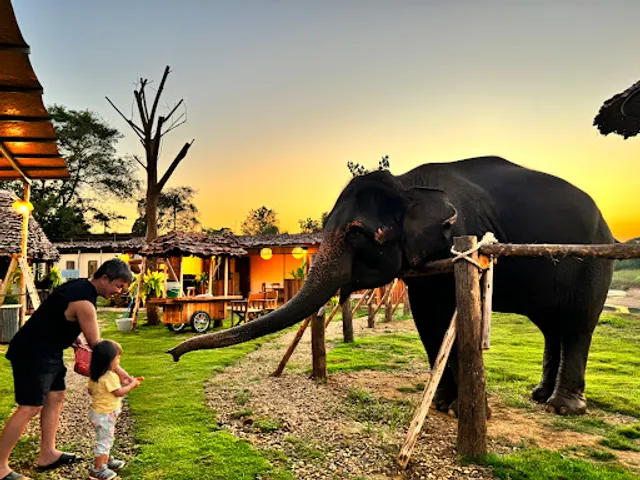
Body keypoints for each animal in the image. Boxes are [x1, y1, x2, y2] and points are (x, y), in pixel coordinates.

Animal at [169, 156, 614, 416]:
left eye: (357, 232)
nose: (173, 355)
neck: (408, 183)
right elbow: (429, 321)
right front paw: (442, 406)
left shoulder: (461, 238)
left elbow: (451, 320)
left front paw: (463, 411)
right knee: (552, 326)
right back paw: (540, 397)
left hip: (595, 261)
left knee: (577, 323)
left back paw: (564, 408)